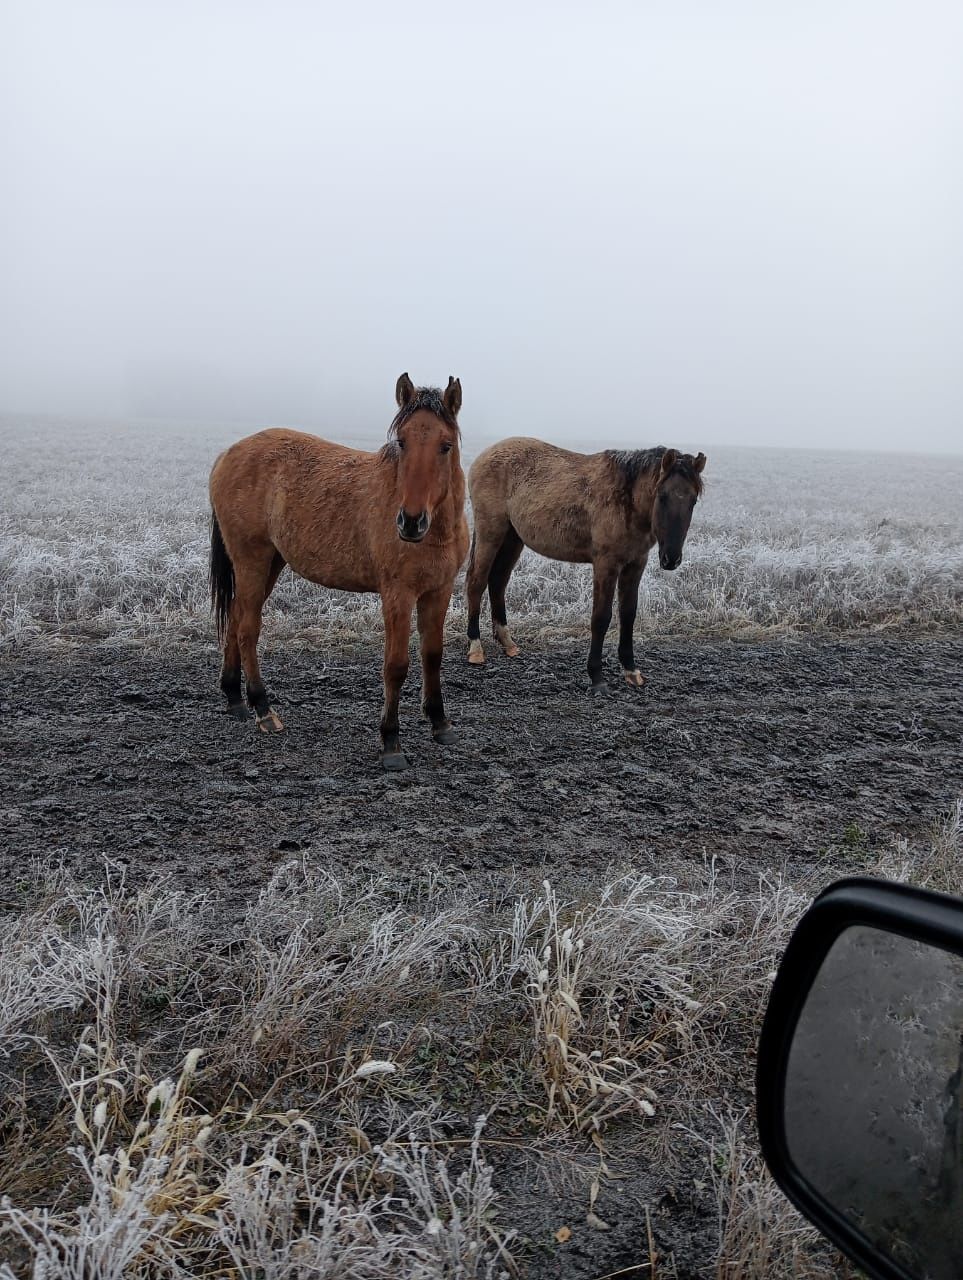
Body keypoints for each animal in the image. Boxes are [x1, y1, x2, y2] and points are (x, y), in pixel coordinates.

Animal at [207, 373, 471, 768]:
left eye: (446, 445)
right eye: (402, 442)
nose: (410, 522)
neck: (438, 533)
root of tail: (228, 454)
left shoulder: (439, 590)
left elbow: (432, 657)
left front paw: (441, 724)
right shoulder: (398, 595)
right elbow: (396, 665)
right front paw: (391, 742)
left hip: (269, 563)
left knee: (237, 617)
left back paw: (236, 700)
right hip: (251, 559)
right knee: (248, 628)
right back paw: (262, 707)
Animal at [466, 445, 706, 696]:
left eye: (693, 501)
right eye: (662, 496)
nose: (671, 558)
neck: (627, 499)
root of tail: (485, 455)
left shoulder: (634, 565)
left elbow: (628, 615)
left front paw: (631, 671)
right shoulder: (606, 564)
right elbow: (601, 618)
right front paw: (597, 677)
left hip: (512, 539)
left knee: (497, 582)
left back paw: (508, 643)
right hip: (490, 534)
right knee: (476, 582)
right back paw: (475, 647)